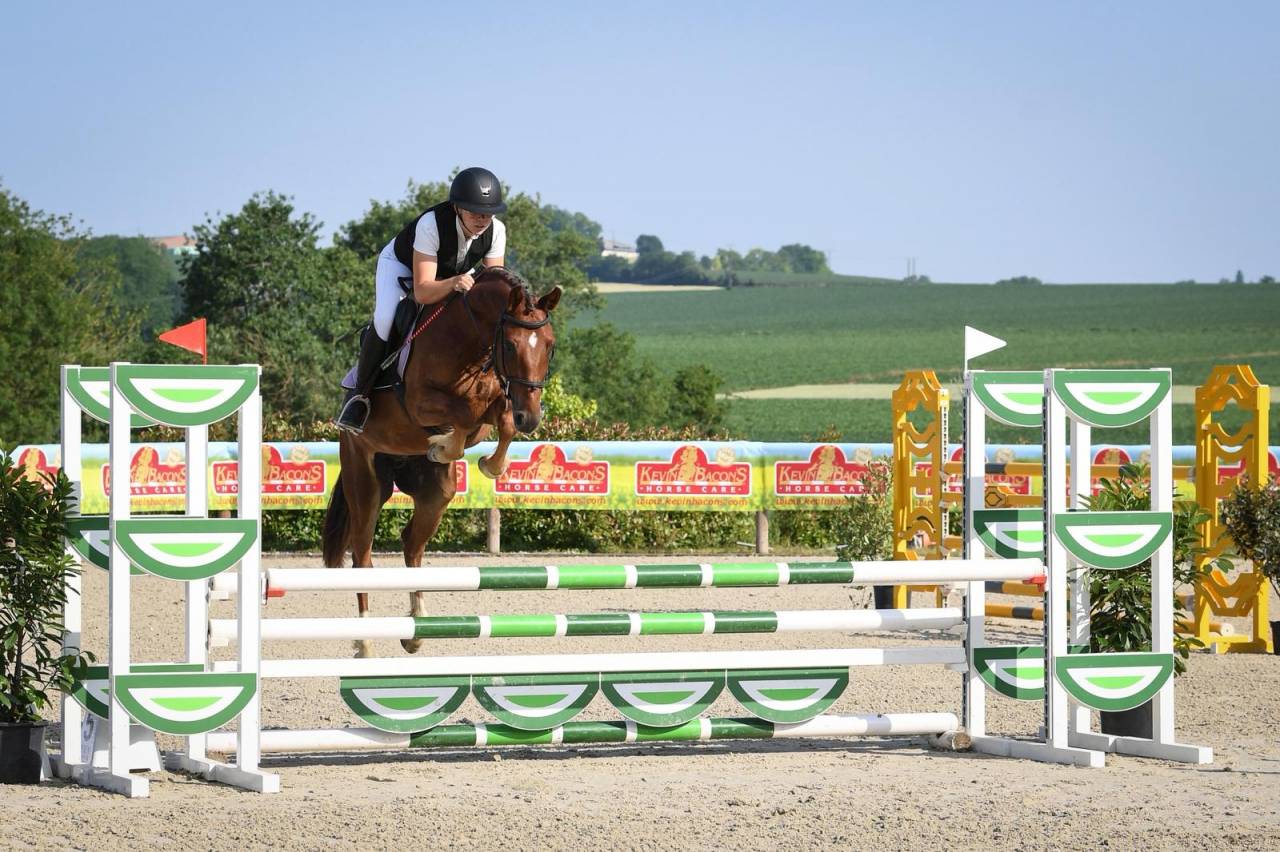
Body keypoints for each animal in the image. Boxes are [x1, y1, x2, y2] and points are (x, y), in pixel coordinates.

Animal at [321, 267, 561, 657]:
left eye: (549, 346)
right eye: (510, 345)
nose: (532, 418)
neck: (470, 342)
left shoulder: (494, 406)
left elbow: (498, 420)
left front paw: (486, 464)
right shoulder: (421, 403)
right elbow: (462, 414)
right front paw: (444, 446)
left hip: (436, 494)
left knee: (411, 544)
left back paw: (416, 630)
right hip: (365, 480)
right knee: (362, 556)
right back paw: (366, 642)